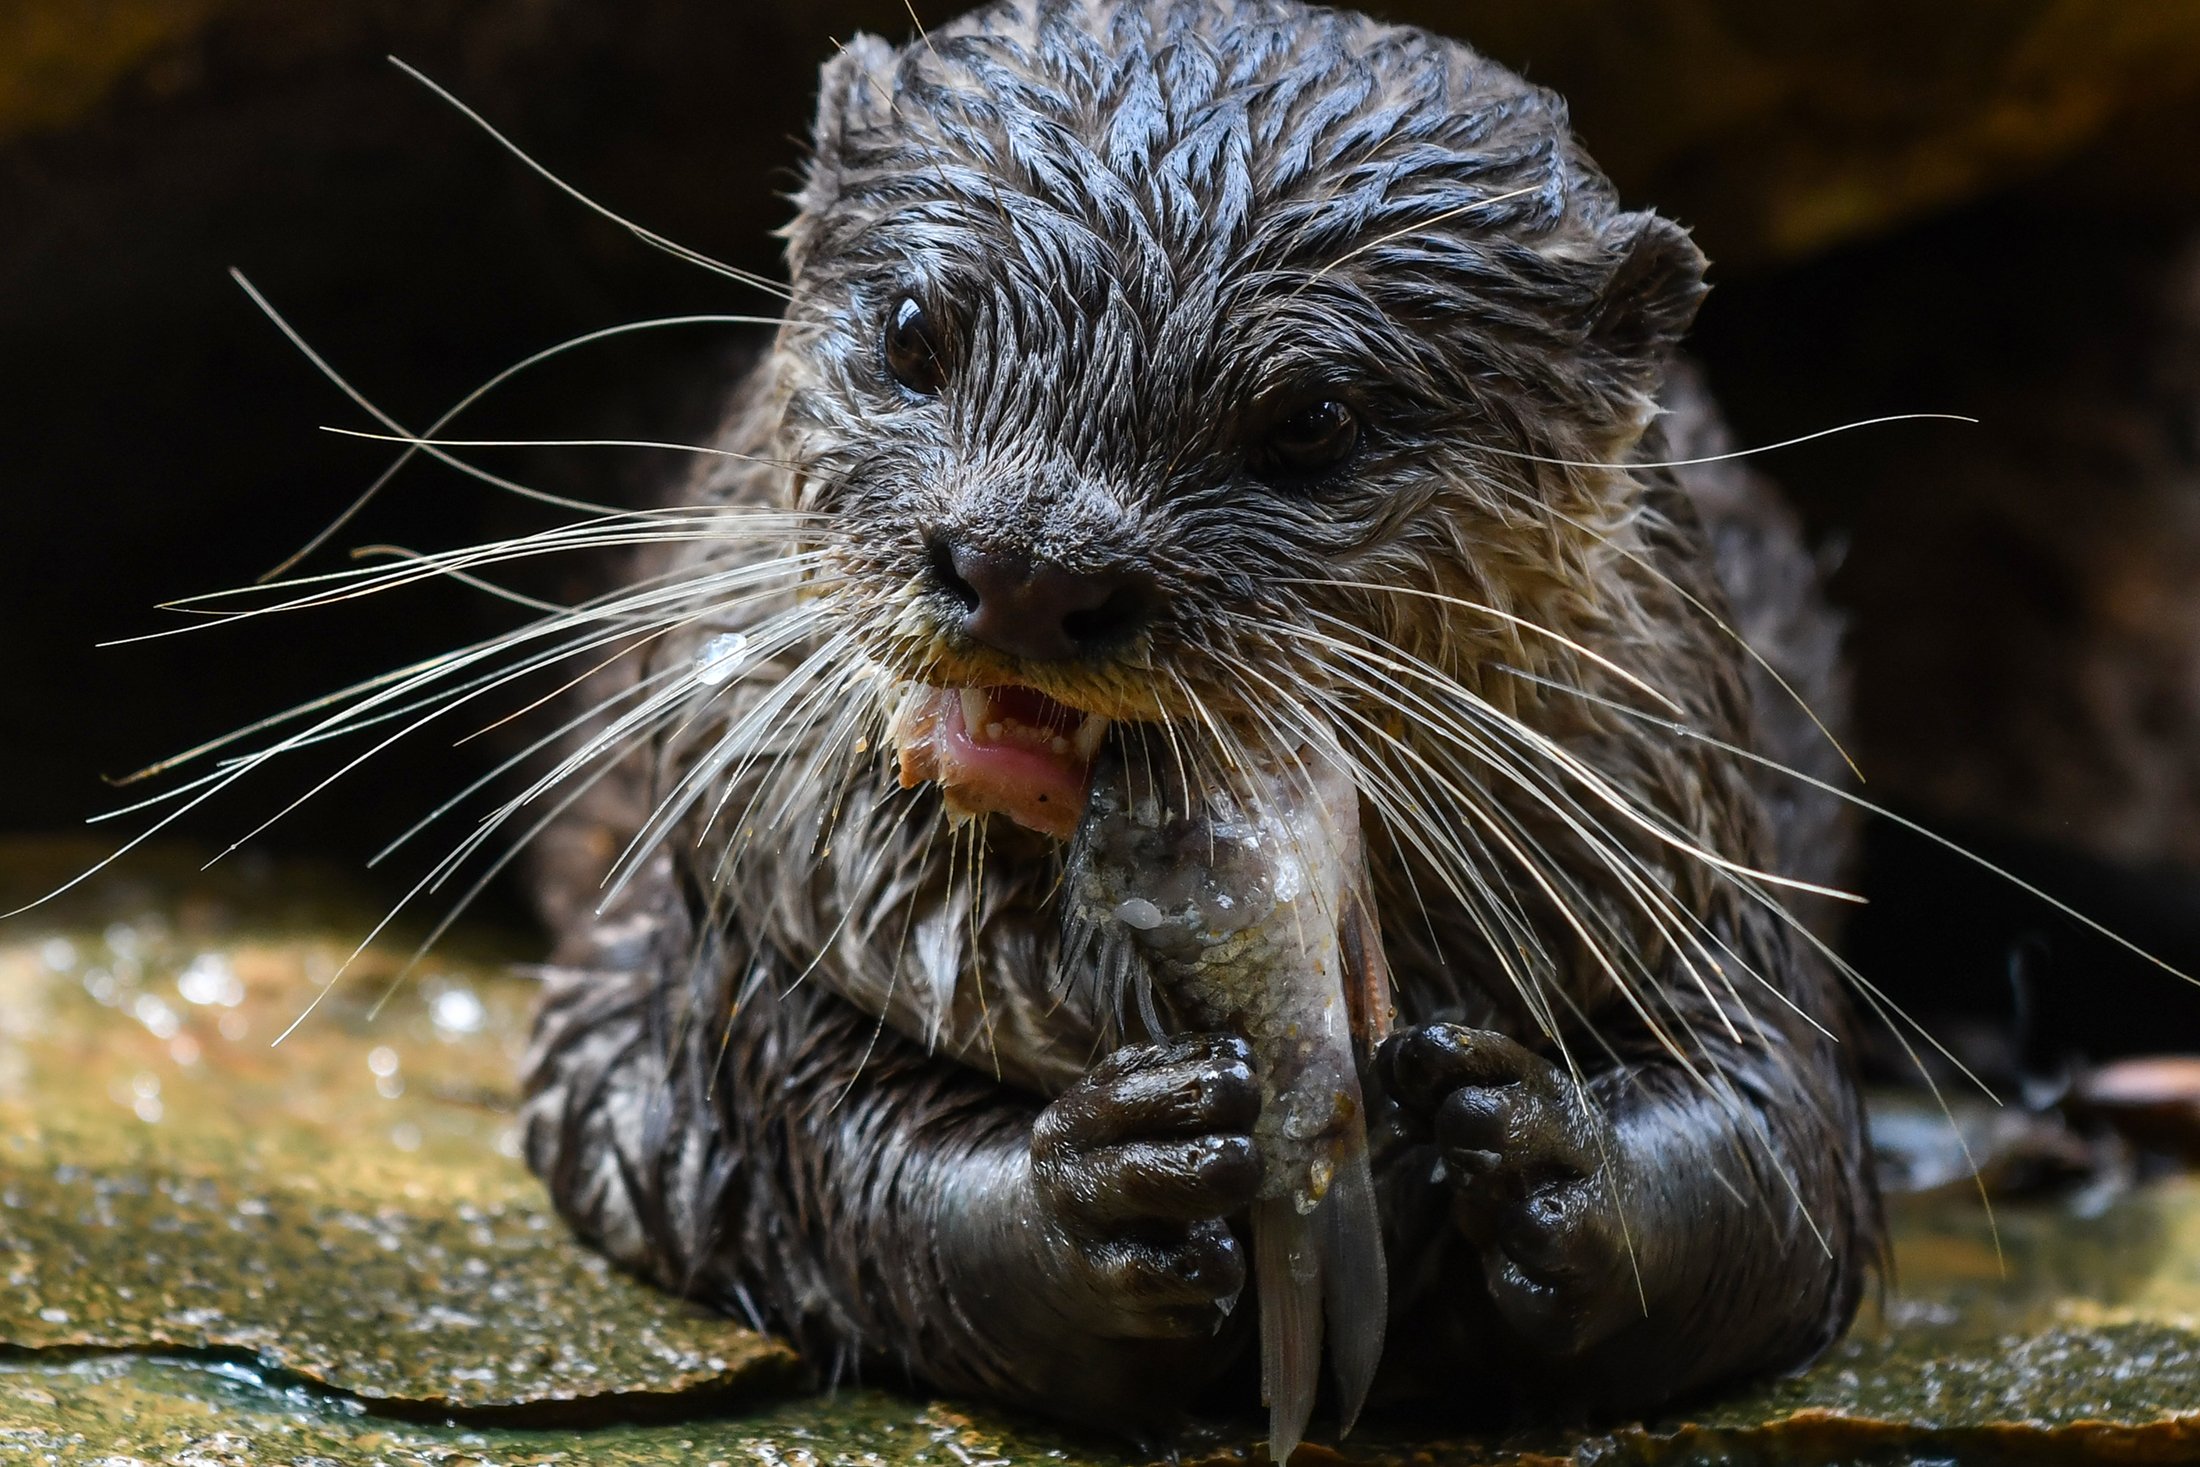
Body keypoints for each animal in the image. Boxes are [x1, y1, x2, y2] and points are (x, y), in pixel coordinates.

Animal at [510, 0, 1874, 1442]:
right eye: (914, 332)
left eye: (1314, 419)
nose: (1031, 563)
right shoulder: (722, 937)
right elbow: (776, 1136)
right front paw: (1096, 1192)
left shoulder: (1705, 871)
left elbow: (1781, 1167)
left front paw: (1551, 1148)